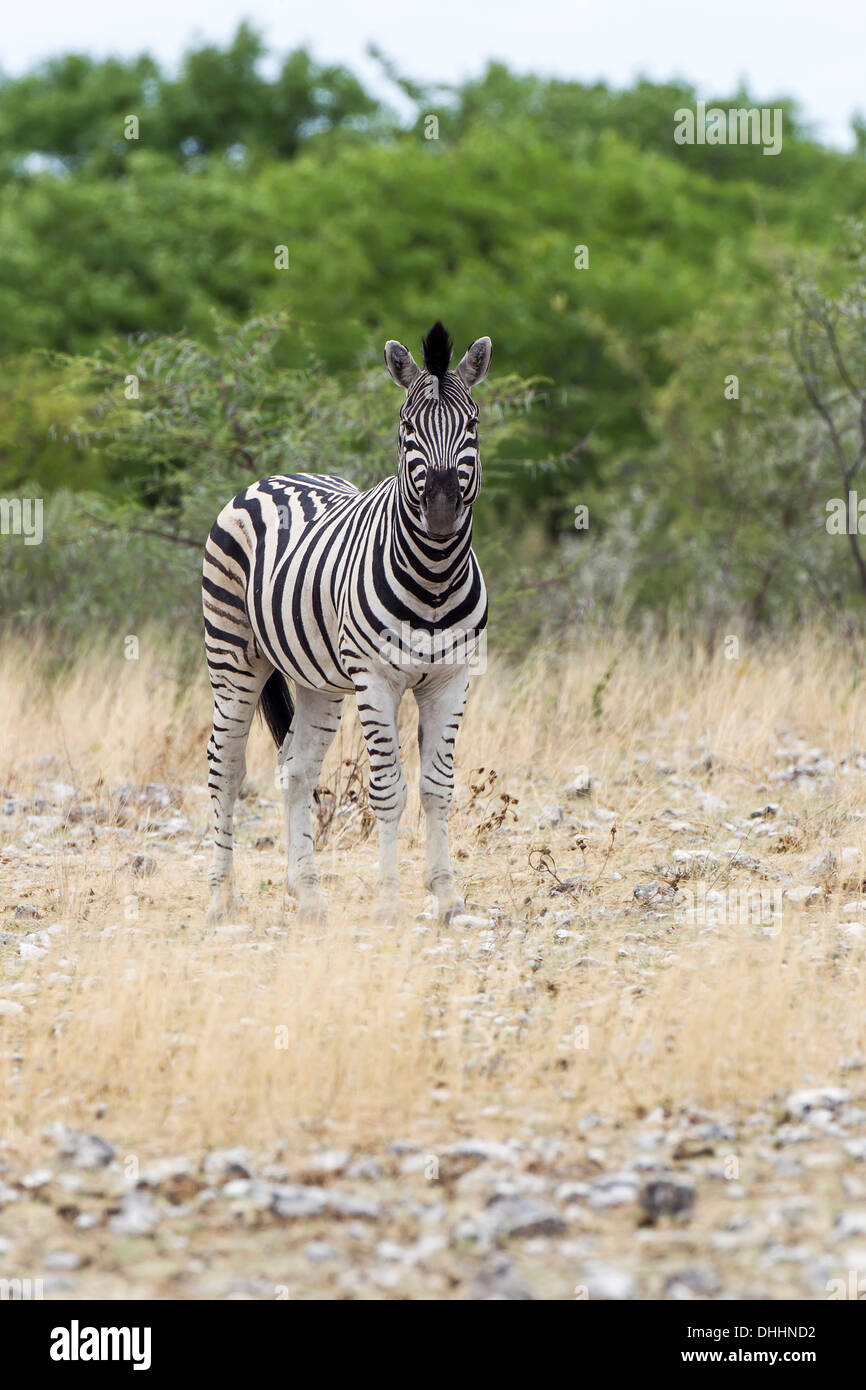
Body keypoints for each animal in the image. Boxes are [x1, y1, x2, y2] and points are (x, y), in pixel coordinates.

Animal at [198, 318, 492, 922]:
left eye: (472, 424)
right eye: (406, 427)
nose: (443, 509)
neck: (434, 574)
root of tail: (272, 477)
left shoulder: (452, 678)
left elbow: (437, 787)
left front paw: (446, 896)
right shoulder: (376, 679)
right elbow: (388, 790)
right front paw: (389, 902)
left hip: (320, 682)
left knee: (296, 769)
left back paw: (308, 893)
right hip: (233, 658)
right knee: (226, 769)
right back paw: (220, 898)